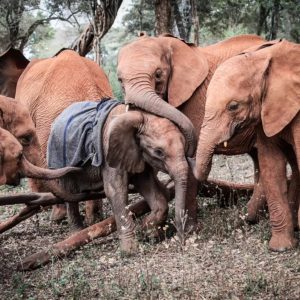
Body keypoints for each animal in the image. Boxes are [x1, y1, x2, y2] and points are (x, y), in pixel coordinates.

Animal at [48, 100, 190, 253]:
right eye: (159, 152)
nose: (181, 241)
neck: (142, 116)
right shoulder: (109, 150)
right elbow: (116, 191)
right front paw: (130, 251)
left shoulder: (136, 154)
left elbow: (146, 184)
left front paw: (148, 233)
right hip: (61, 159)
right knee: (69, 191)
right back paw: (77, 232)